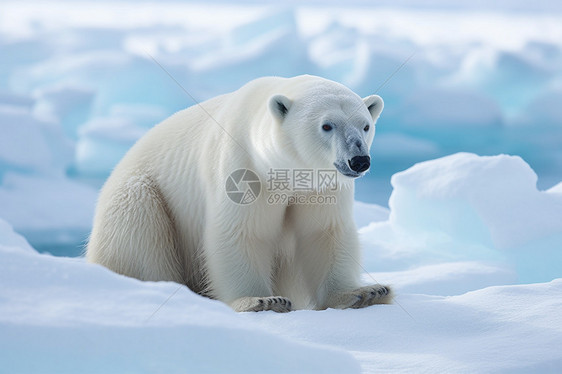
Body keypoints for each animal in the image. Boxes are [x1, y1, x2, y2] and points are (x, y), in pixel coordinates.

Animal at [86, 74, 390, 312]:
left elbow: (324, 233)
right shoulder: (242, 168)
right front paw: (262, 300)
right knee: (139, 230)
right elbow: (242, 232)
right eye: (327, 125)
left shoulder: (320, 188)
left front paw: (365, 293)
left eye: (365, 125)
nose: (359, 160)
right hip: (139, 195)